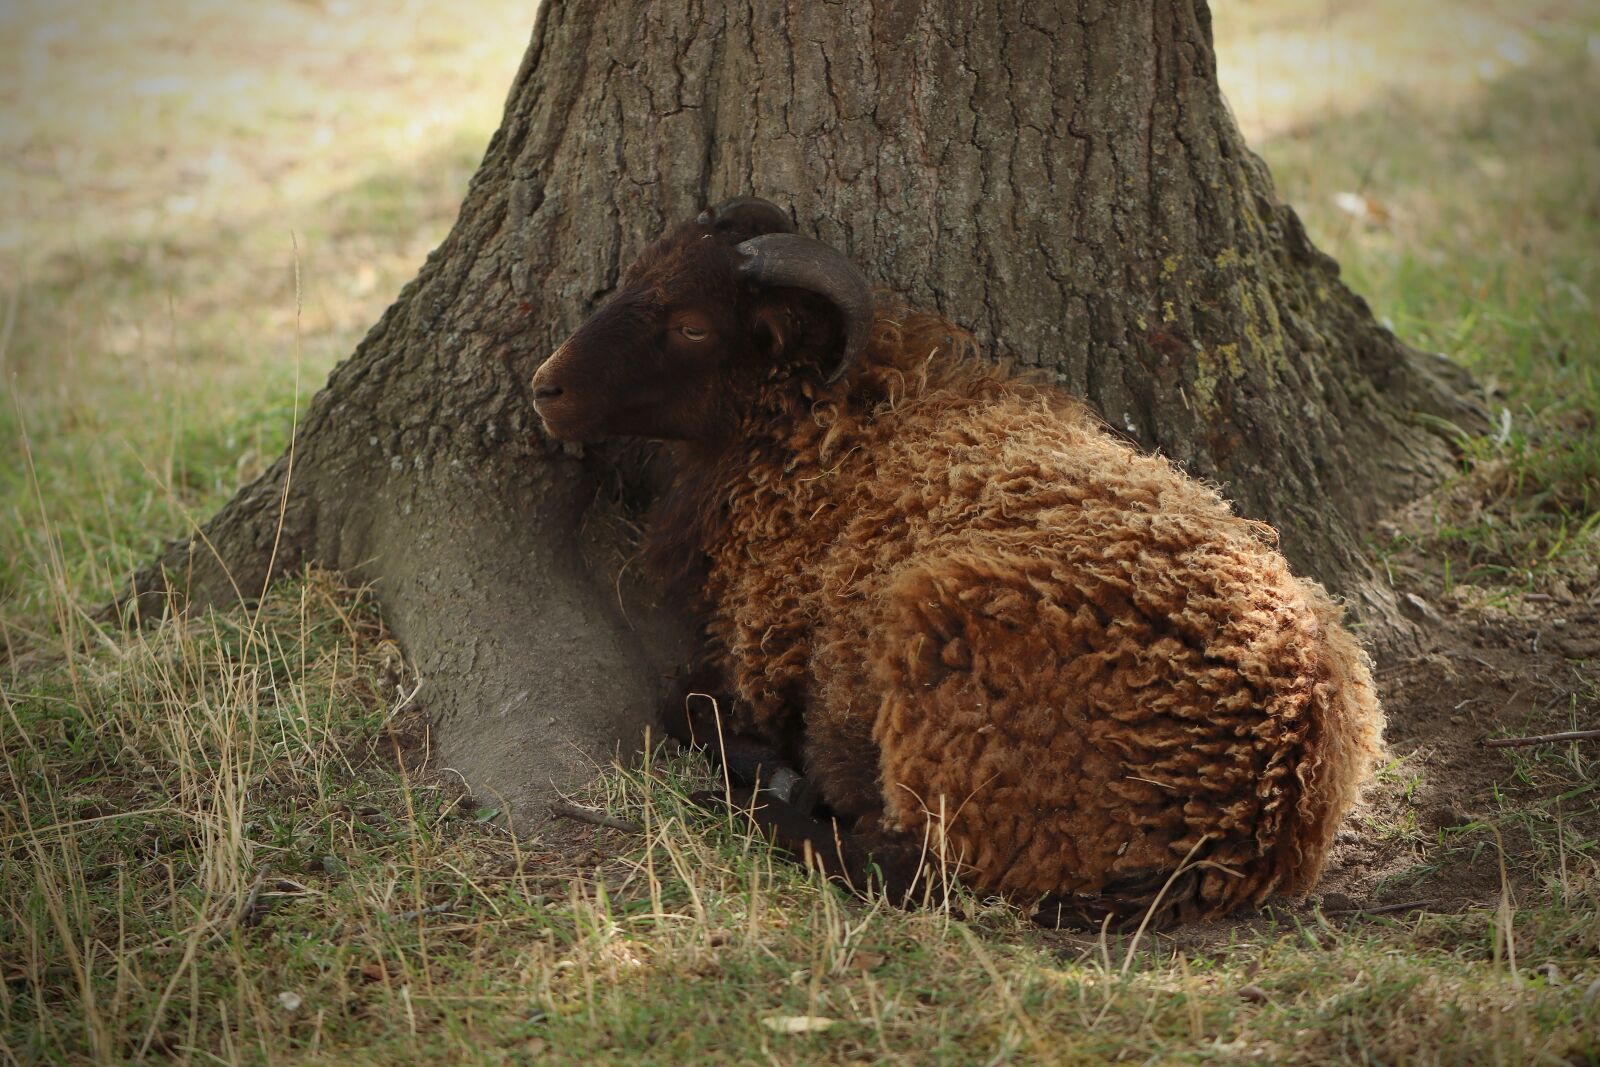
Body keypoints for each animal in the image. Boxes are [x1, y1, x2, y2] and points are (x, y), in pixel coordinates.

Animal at [530, 197, 1385, 927]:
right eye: (638, 274)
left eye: (693, 327)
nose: (546, 389)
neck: (842, 431)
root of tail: (1265, 792)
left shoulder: (767, 657)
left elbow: (682, 702)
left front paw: (770, 769)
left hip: (951, 703)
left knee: (919, 871)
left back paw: (764, 803)